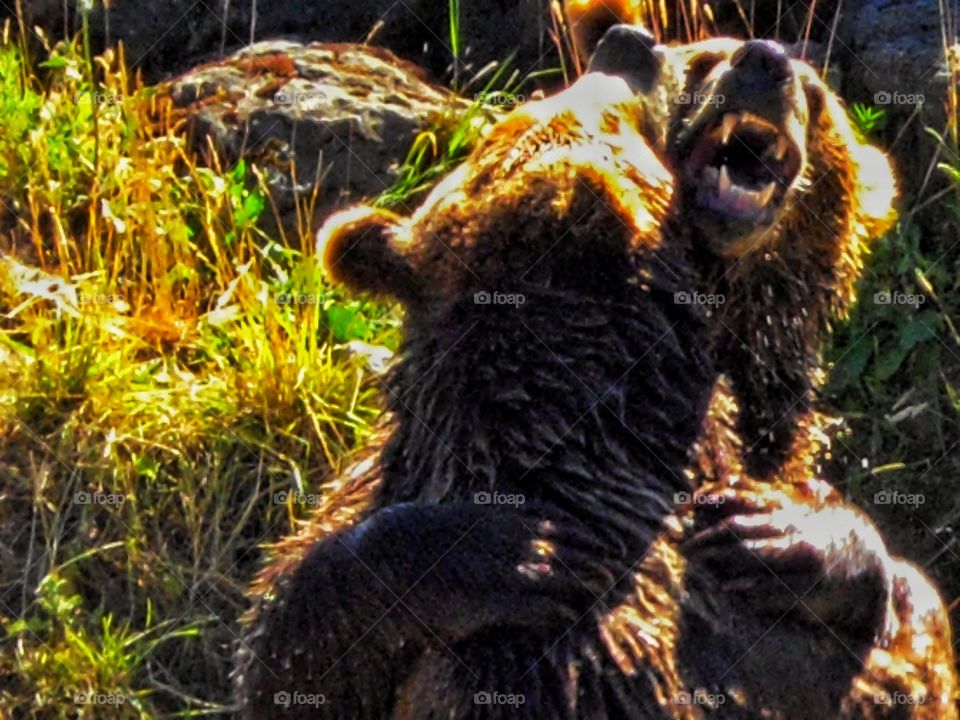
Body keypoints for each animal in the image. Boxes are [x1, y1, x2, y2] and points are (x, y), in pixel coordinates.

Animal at [234, 54, 906, 718]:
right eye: (704, 61)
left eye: (816, 96)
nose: (766, 60)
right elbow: (288, 644)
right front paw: (509, 554)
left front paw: (786, 534)